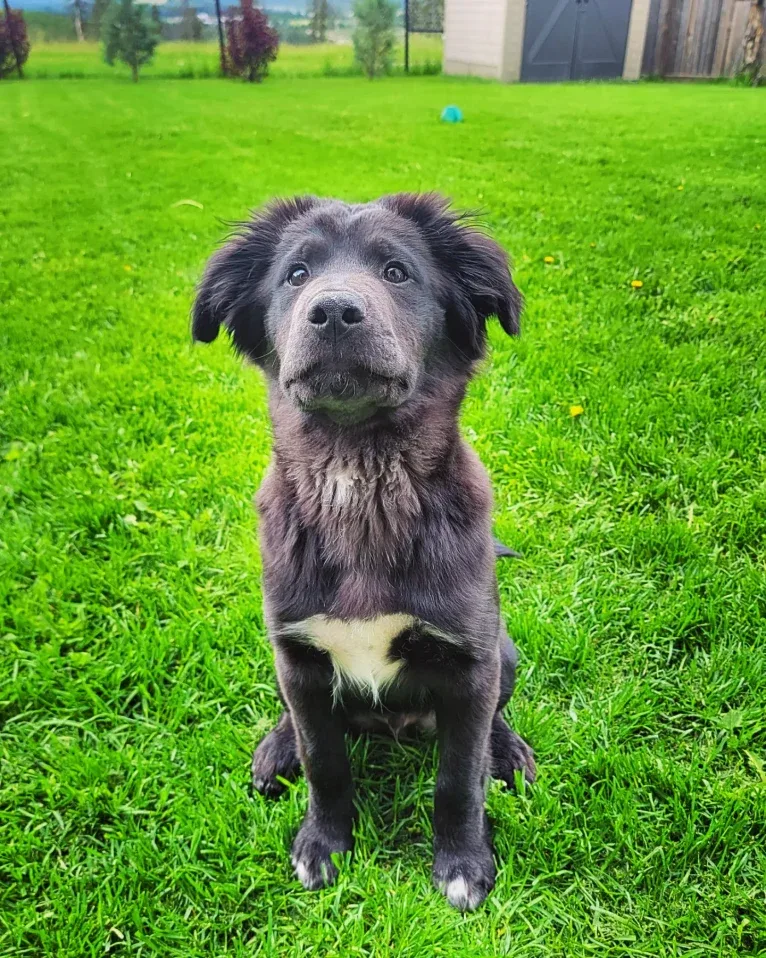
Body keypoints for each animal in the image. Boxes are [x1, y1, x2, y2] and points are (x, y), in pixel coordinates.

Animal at [194, 195, 536, 916]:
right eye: (295, 275)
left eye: (397, 271)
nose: (333, 311)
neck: (360, 478)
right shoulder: (298, 658)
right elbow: (325, 762)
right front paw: (323, 845)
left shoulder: (470, 663)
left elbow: (458, 778)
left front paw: (464, 864)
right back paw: (276, 749)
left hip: (506, 654)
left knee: (496, 716)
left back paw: (509, 751)